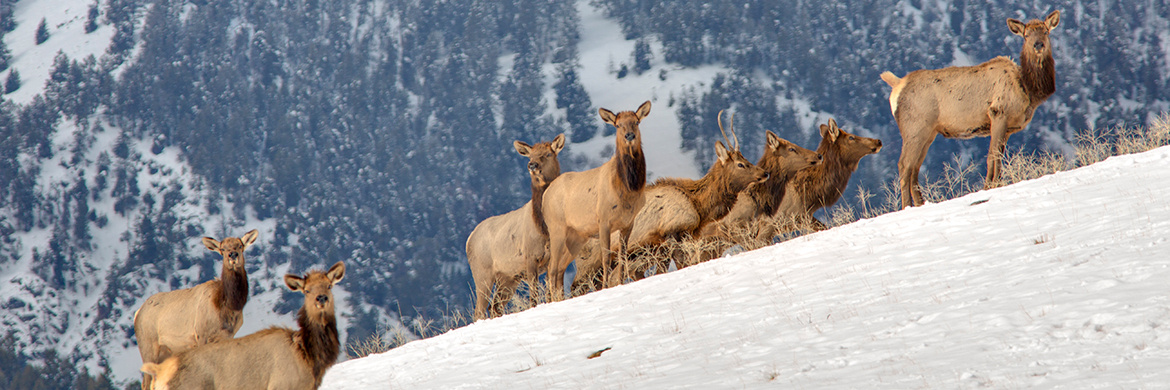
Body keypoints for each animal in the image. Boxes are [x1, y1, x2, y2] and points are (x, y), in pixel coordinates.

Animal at [134, 228, 258, 388]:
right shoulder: (201, 334)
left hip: (167, 351)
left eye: (240, 246)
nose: (233, 255)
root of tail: (137, 313)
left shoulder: (228, 336)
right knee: (146, 382)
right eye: (222, 249)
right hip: (148, 345)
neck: (226, 306)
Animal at [139, 260, 343, 390]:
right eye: (307, 290)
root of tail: (160, 372)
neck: (309, 356)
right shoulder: (280, 385)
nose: (321, 298)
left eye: (329, 285)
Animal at [463, 132, 563, 318]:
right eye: (530, 156)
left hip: (507, 278)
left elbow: (550, 292)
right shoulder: (530, 257)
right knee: (479, 310)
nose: (532, 165)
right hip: (482, 274)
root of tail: (468, 240)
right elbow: (533, 297)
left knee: (494, 306)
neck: (543, 229)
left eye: (548, 154)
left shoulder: (551, 257)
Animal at [542, 98, 655, 296]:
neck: (628, 190)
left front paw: (620, 283)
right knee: (551, 269)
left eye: (636, 121)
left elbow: (623, 256)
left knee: (560, 268)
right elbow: (606, 257)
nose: (630, 136)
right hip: (556, 228)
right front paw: (605, 287)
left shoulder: (628, 222)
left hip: (576, 236)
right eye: (618, 125)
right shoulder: (603, 220)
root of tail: (544, 197)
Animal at [879, 10, 1062, 208]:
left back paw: (921, 204)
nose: (1038, 45)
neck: (1027, 91)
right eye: (1026, 35)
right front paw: (989, 187)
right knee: (904, 165)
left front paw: (994, 184)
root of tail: (897, 84)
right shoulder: (998, 113)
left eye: (1046, 31)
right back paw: (907, 206)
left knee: (914, 167)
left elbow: (998, 157)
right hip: (914, 128)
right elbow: (992, 156)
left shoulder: (1008, 128)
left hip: (928, 133)